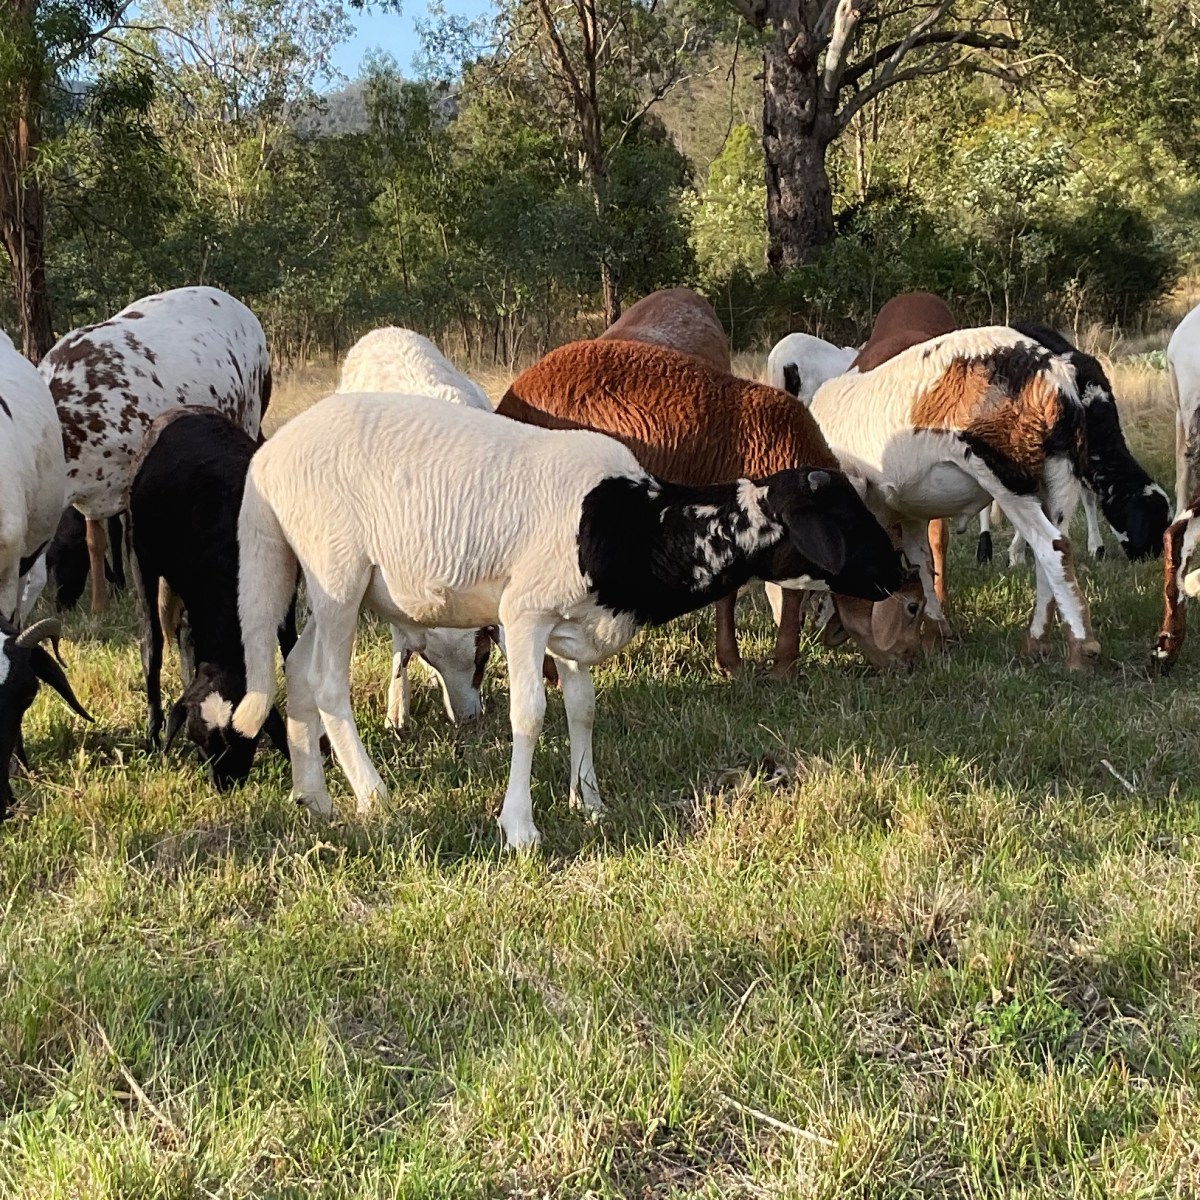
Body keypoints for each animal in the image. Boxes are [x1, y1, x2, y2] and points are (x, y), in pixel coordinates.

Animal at [39, 286, 271, 612]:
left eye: (60, 557)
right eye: (47, 559)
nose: (61, 605)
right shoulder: (92, 488)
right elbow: (95, 541)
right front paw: (99, 606)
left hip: (248, 411)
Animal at [231, 392, 910, 848]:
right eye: (844, 518)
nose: (900, 573)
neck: (639, 527)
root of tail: (267, 460)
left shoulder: (572, 626)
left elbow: (581, 708)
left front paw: (591, 801)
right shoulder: (524, 614)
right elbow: (529, 714)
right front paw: (520, 826)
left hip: (326, 582)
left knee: (297, 669)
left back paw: (314, 796)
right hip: (337, 572)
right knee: (328, 685)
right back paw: (373, 797)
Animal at [496, 339, 927, 674]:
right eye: (913, 608)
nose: (912, 664)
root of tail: (511, 399)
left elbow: (728, 593)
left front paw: (731, 662)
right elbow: (788, 595)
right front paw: (782, 666)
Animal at [810, 325, 1106, 668]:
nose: (901, 662)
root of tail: (1051, 376)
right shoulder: (909, 512)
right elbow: (921, 561)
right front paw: (935, 632)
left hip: (1005, 474)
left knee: (1052, 546)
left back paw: (1081, 649)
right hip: (1060, 474)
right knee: (1051, 549)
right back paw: (1035, 643)